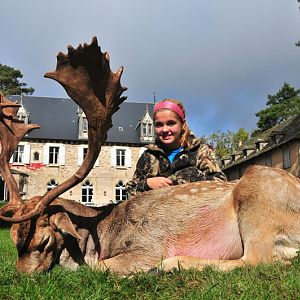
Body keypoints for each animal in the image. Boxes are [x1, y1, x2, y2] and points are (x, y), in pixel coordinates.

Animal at [0, 37, 300, 274]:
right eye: (14, 239)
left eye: (45, 240)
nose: (23, 277)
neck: (100, 236)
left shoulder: (148, 245)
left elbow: (99, 267)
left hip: (259, 191)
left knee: (257, 258)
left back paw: (171, 264)